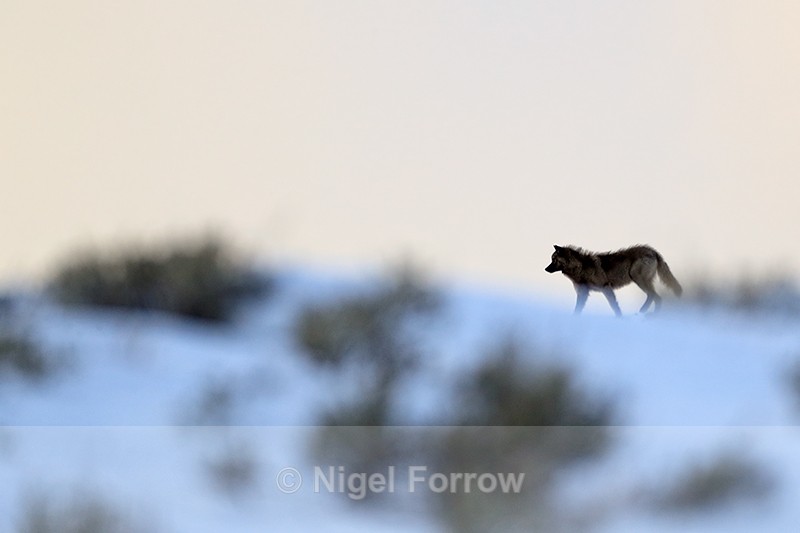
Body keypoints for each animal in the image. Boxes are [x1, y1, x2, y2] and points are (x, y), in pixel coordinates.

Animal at [545, 244, 682, 316]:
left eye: (554, 260)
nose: (545, 269)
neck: (580, 267)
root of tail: (653, 251)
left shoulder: (606, 287)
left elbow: (613, 305)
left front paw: (619, 317)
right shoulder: (582, 293)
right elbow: (577, 309)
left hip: (637, 278)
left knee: (654, 296)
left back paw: (644, 313)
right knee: (656, 297)